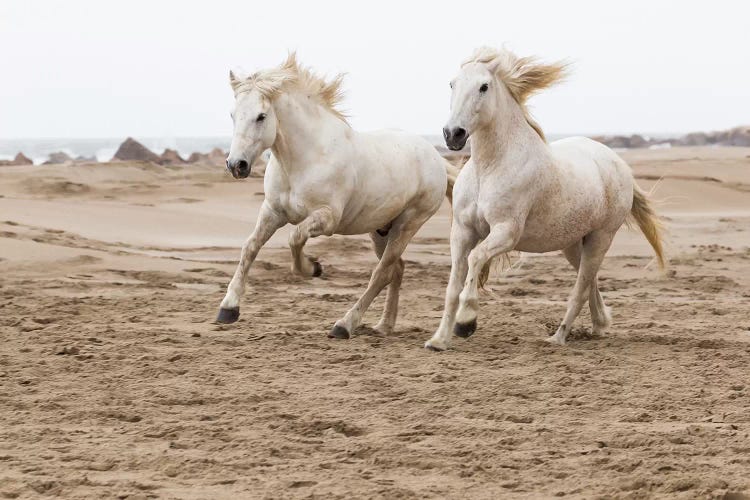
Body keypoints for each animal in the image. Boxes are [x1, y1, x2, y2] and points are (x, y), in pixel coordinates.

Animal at [214, 53, 456, 340]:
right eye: (232, 114)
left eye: (261, 116)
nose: (236, 165)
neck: (305, 159)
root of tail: (436, 158)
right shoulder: (272, 211)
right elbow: (250, 247)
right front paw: (228, 309)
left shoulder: (327, 218)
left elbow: (295, 239)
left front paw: (313, 268)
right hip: (380, 230)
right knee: (395, 270)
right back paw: (384, 325)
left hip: (407, 225)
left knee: (381, 273)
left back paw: (344, 324)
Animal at [426, 47, 668, 352]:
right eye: (452, 84)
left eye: (484, 86)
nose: (453, 134)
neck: (489, 168)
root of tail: (618, 163)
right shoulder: (462, 231)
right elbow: (453, 284)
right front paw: (438, 340)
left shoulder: (506, 232)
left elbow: (476, 258)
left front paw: (466, 322)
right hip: (574, 244)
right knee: (590, 283)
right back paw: (599, 326)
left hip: (601, 238)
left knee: (580, 289)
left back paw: (558, 337)